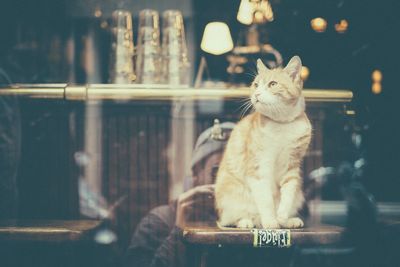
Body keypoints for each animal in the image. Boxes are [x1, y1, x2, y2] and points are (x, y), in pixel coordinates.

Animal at [216, 55, 312, 229]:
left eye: (272, 84)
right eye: (255, 85)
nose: (257, 94)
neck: (282, 124)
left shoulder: (292, 166)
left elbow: (287, 194)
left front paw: (281, 216)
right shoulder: (259, 168)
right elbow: (266, 200)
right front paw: (270, 221)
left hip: (299, 194)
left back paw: (288, 221)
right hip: (231, 198)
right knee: (235, 218)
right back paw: (247, 221)